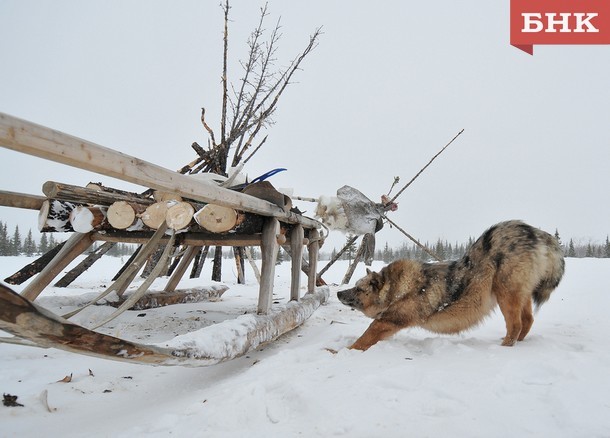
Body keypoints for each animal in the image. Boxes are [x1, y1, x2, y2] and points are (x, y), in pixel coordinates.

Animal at [334, 221, 564, 350]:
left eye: (359, 288)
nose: (338, 293)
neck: (397, 287)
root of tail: (534, 232)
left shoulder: (389, 320)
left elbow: (364, 338)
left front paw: (344, 351)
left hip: (506, 294)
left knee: (515, 324)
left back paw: (504, 347)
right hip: (520, 294)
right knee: (527, 320)